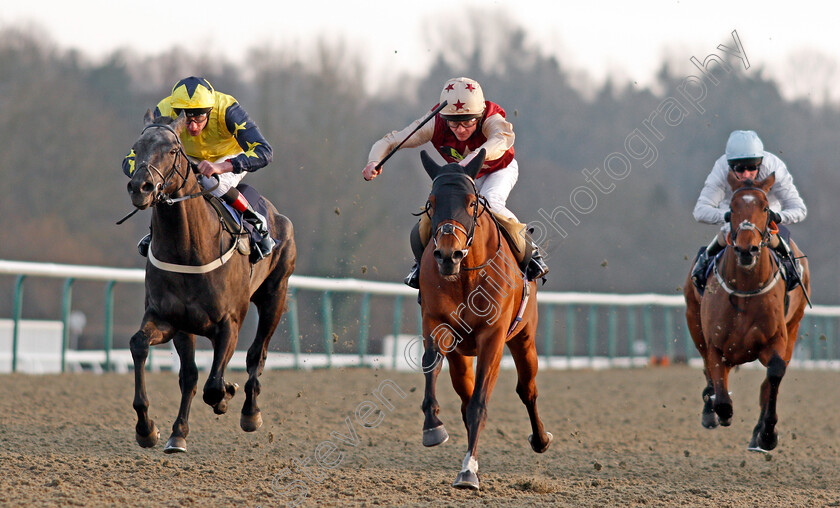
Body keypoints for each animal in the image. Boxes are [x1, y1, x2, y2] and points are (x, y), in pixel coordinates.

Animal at [124, 111, 296, 452]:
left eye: (172, 150)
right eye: (136, 148)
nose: (141, 187)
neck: (189, 249)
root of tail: (277, 215)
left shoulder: (229, 322)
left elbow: (214, 384)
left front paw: (226, 395)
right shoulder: (171, 319)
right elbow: (147, 350)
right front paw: (153, 429)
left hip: (275, 295)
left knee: (257, 354)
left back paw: (250, 412)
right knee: (194, 374)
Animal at [418, 150, 552, 488]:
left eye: (470, 202)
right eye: (432, 202)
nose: (447, 255)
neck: (467, 274)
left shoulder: (493, 336)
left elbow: (481, 402)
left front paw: (468, 471)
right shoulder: (437, 323)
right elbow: (430, 363)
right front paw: (432, 426)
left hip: (524, 339)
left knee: (527, 389)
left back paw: (540, 439)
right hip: (461, 356)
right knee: (464, 396)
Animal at [684, 172, 812, 452]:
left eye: (765, 208)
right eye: (731, 208)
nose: (746, 249)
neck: (745, 288)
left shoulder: (775, 340)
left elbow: (774, 374)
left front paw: (767, 434)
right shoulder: (716, 344)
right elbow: (719, 390)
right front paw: (718, 411)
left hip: (794, 328)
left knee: (769, 380)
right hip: (693, 321)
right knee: (708, 370)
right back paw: (710, 411)